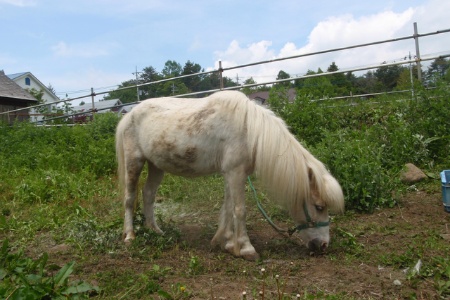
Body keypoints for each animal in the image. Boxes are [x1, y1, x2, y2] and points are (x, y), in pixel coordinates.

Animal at [116, 89, 344, 260]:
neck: (250, 131)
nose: (323, 245)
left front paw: (224, 241)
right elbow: (240, 209)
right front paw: (246, 248)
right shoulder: (236, 173)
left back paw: (155, 230)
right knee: (129, 198)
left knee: (148, 195)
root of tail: (129, 115)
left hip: (156, 166)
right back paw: (129, 236)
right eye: (319, 207)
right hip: (134, 162)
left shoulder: (232, 173)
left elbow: (228, 207)